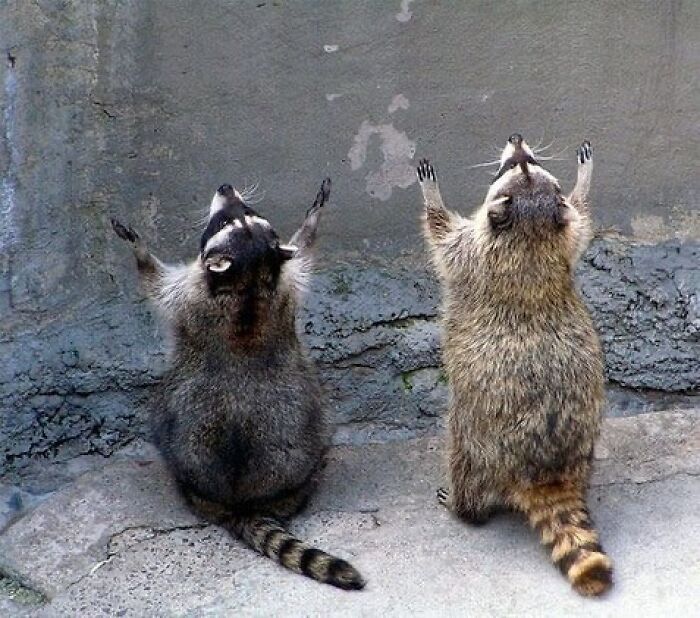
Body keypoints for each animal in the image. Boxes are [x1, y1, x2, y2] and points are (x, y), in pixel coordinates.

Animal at [111, 178, 365, 590]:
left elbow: (154, 281)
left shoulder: (190, 292)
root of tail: (241, 502)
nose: (226, 186)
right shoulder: (278, 285)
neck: (250, 276)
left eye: (230, 219)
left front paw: (138, 247)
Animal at [417, 136, 612, 596]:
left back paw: (464, 508)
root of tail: (547, 471)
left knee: (463, 462)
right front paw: (584, 181)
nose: (518, 141)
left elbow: (440, 234)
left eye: (518, 164)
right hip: (585, 443)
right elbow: (581, 221)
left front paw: (432, 195)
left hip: (476, 439)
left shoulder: (470, 252)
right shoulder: (563, 240)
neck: (531, 235)